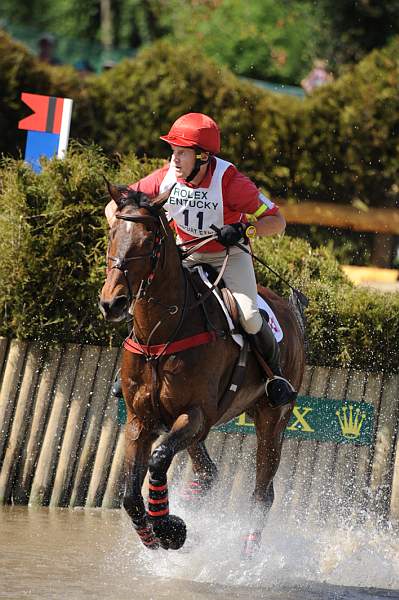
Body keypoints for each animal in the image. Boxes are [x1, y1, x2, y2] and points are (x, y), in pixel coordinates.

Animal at [100, 184, 306, 556]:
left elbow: (159, 459)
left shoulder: (197, 414)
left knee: (262, 492)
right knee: (208, 472)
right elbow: (130, 495)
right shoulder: (141, 420)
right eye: (112, 233)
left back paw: (248, 553)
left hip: (273, 419)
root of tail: (290, 310)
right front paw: (155, 532)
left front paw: (169, 529)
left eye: (150, 239)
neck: (161, 334)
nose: (113, 303)